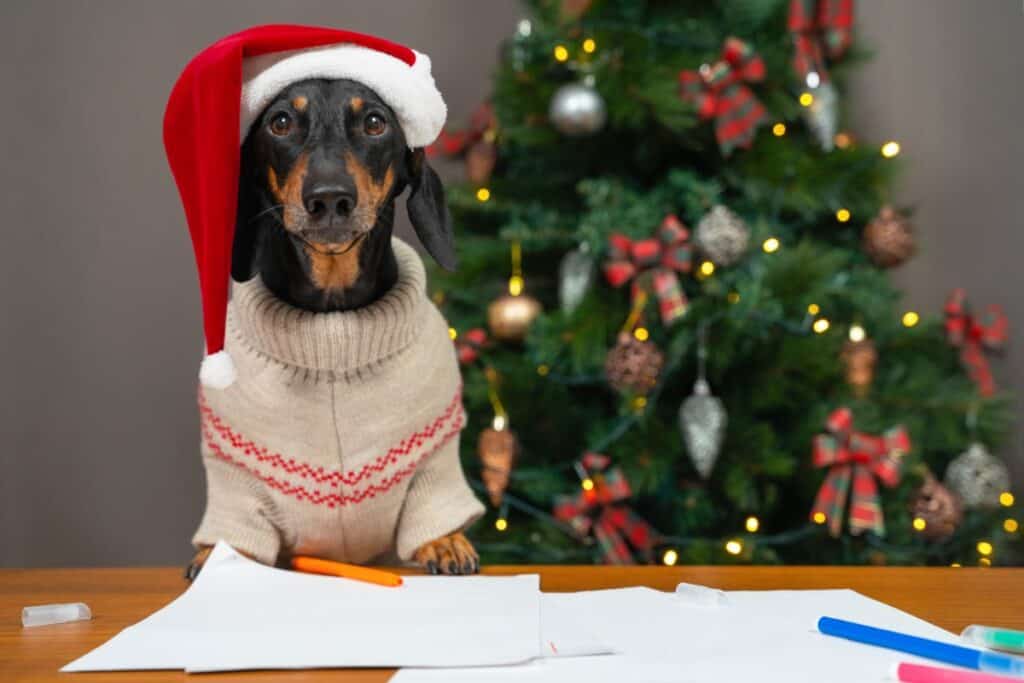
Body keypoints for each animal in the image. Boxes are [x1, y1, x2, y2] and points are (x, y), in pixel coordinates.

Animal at [189, 78, 479, 581]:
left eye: (375, 122)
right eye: (281, 121)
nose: (328, 199)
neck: (332, 329)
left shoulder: (435, 461)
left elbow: (433, 502)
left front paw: (444, 541)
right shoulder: (234, 475)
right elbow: (238, 521)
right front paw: (220, 554)